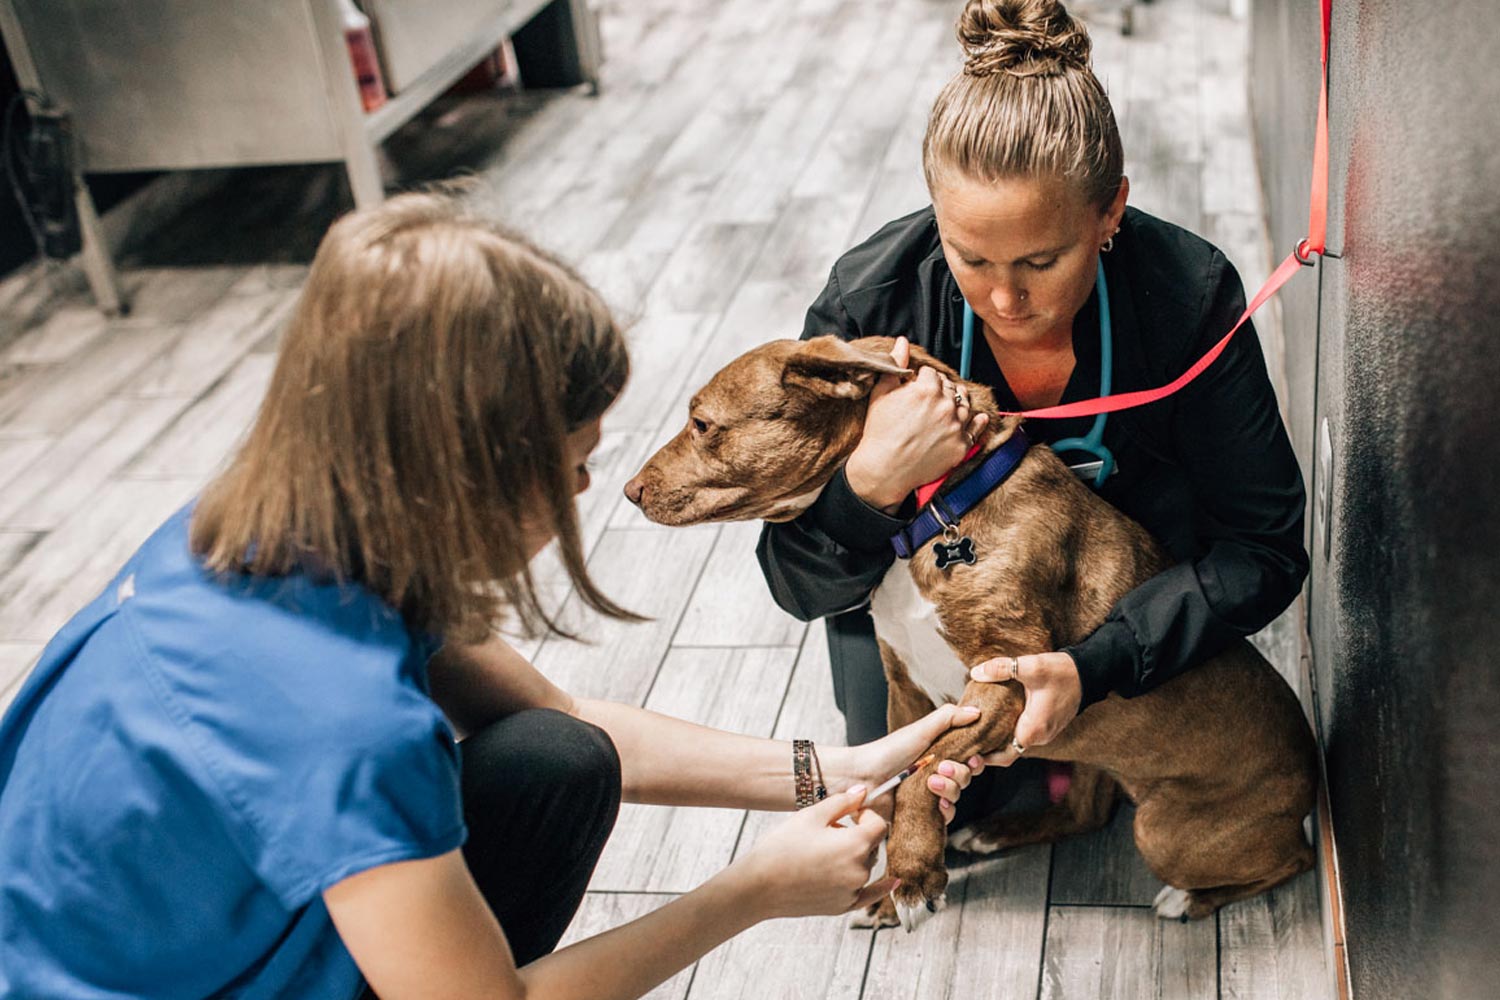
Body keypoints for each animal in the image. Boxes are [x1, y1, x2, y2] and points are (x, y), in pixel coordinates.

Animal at [621, 334, 1314, 929]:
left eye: (703, 425)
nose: (628, 490)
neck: (936, 508)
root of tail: (1309, 780)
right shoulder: (908, 692)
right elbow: (906, 775)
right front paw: (897, 881)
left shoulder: (1008, 681)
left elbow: (922, 776)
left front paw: (911, 877)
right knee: (1088, 810)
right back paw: (998, 831)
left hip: (1165, 831)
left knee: (1294, 862)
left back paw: (1191, 899)